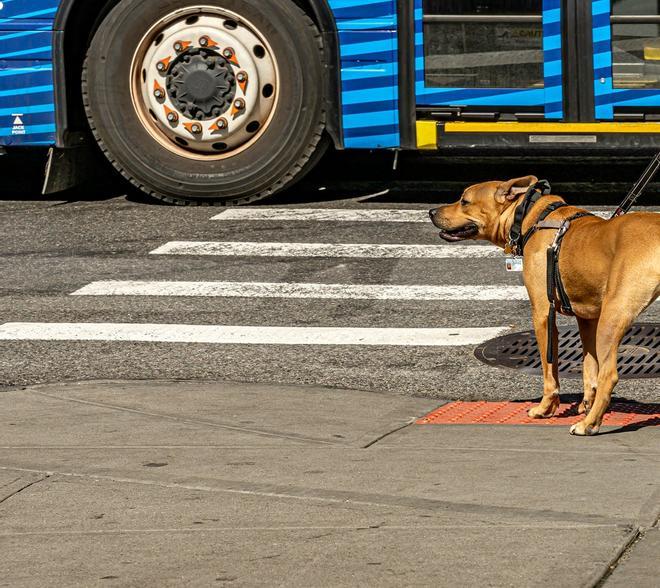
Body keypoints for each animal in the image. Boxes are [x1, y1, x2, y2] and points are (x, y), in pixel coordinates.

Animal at [430, 177, 656, 434]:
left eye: (464, 201)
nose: (431, 212)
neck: (531, 217)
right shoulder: (587, 319)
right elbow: (589, 367)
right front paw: (586, 402)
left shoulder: (542, 314)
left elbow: (551, 370)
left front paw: (546, 407)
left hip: (613, 317)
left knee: (609, 376)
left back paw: (589, 424)